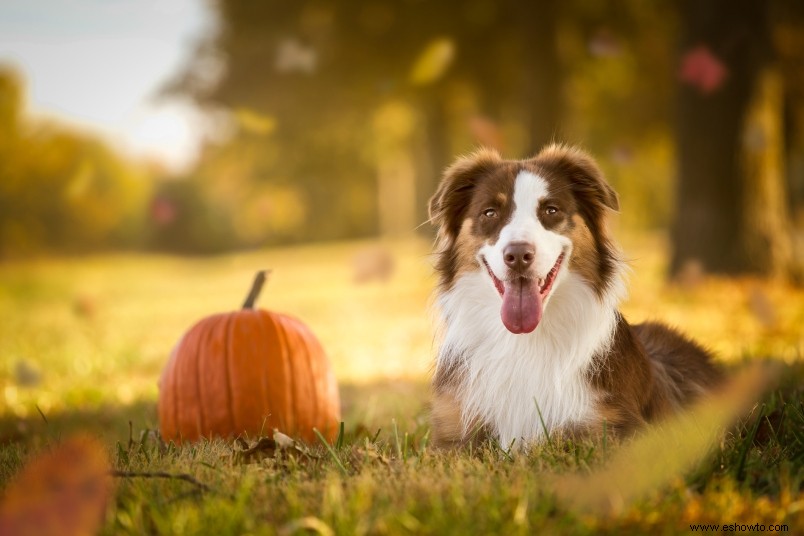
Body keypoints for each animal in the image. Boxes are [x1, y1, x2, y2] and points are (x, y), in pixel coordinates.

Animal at [430, 142, 720, 448]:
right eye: (489, 213)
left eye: (551, 210)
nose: (518, 255)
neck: (526, 341)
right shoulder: (451, 433)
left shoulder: (617, 428)